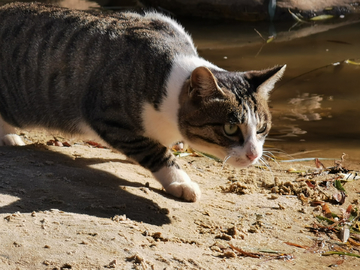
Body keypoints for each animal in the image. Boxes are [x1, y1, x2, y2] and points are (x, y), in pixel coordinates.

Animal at [0, 1, 286, 200]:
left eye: (262, 129)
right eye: (230, 128)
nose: (253, 154)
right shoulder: (108, 115)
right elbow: (155, 151)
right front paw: (180, 181)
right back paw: (9, 136)